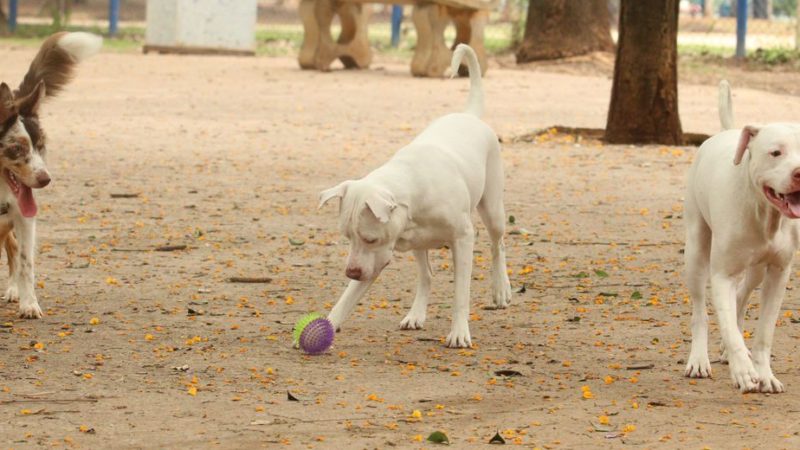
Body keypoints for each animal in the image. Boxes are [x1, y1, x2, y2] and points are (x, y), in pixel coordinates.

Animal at [0, 32, 101, 316]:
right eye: (17, 148)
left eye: (40, 146)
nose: (45, 180)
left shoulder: (24, 217)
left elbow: (26, 262)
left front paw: (29, 303)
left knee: (13, 248)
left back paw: (13, 291)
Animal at [318, 44, 512, 348]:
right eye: (347, 237)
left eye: (370, 238)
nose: (351, 272)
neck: (411, 189)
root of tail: (468, 115)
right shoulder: (375, 259)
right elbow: (348, 296)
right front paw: (328, 323)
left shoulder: (463, 239)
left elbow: (461, 293)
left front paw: (459, 332)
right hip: (419, 245)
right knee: (426, 275)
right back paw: (416, 314)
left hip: (492, 209)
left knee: (498, 245)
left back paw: (501, 288)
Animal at [680, 80, 800, 390]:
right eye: (775, 152)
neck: (765, 214)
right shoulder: (722, 274)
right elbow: (726, 323)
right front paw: (744, 371)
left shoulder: (778, 273)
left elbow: (764, 332)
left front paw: (764, 373)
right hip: (696, 252)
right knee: (701, 311)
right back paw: (699, 359)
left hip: (755, 269)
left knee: (742, 295)